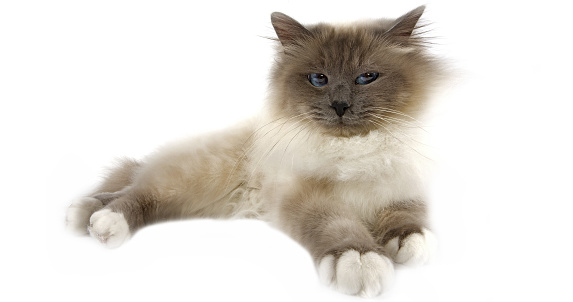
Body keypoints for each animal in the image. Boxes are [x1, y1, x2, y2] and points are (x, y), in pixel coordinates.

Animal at [66, 5, 438, 298]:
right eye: (318, 79)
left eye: (366, 77)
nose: (340, 106)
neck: (354, 148)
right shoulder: (306, 194)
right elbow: (338, 225)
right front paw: (361, 260)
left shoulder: (403, 185)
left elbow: (408, 217)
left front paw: (410, 242)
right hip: (196, 180)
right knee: (139, 193)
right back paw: (101, 222)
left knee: (130, 191)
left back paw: (85, 213)